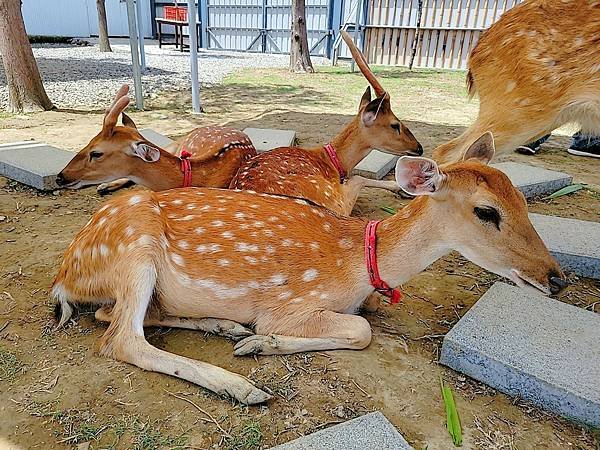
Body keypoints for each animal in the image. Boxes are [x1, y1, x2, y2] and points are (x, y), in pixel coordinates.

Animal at [52, 133, 568, 404]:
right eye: (486, 211)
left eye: (522, 199)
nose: (557, 278)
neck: (359, 264)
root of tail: (62, 277)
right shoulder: (291, 300)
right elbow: (361, 329)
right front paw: (262, 342)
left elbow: (363, 320)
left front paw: (254, 341)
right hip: (134, 250)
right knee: (119, 338)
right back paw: (241, 385)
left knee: (117, 316)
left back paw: (225, 326)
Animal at [230, 30, 422, 215]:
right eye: (395, 124)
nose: (419, 148)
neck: (336, 164)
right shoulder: (336, 201)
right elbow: (358, 178)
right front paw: (403, 188)